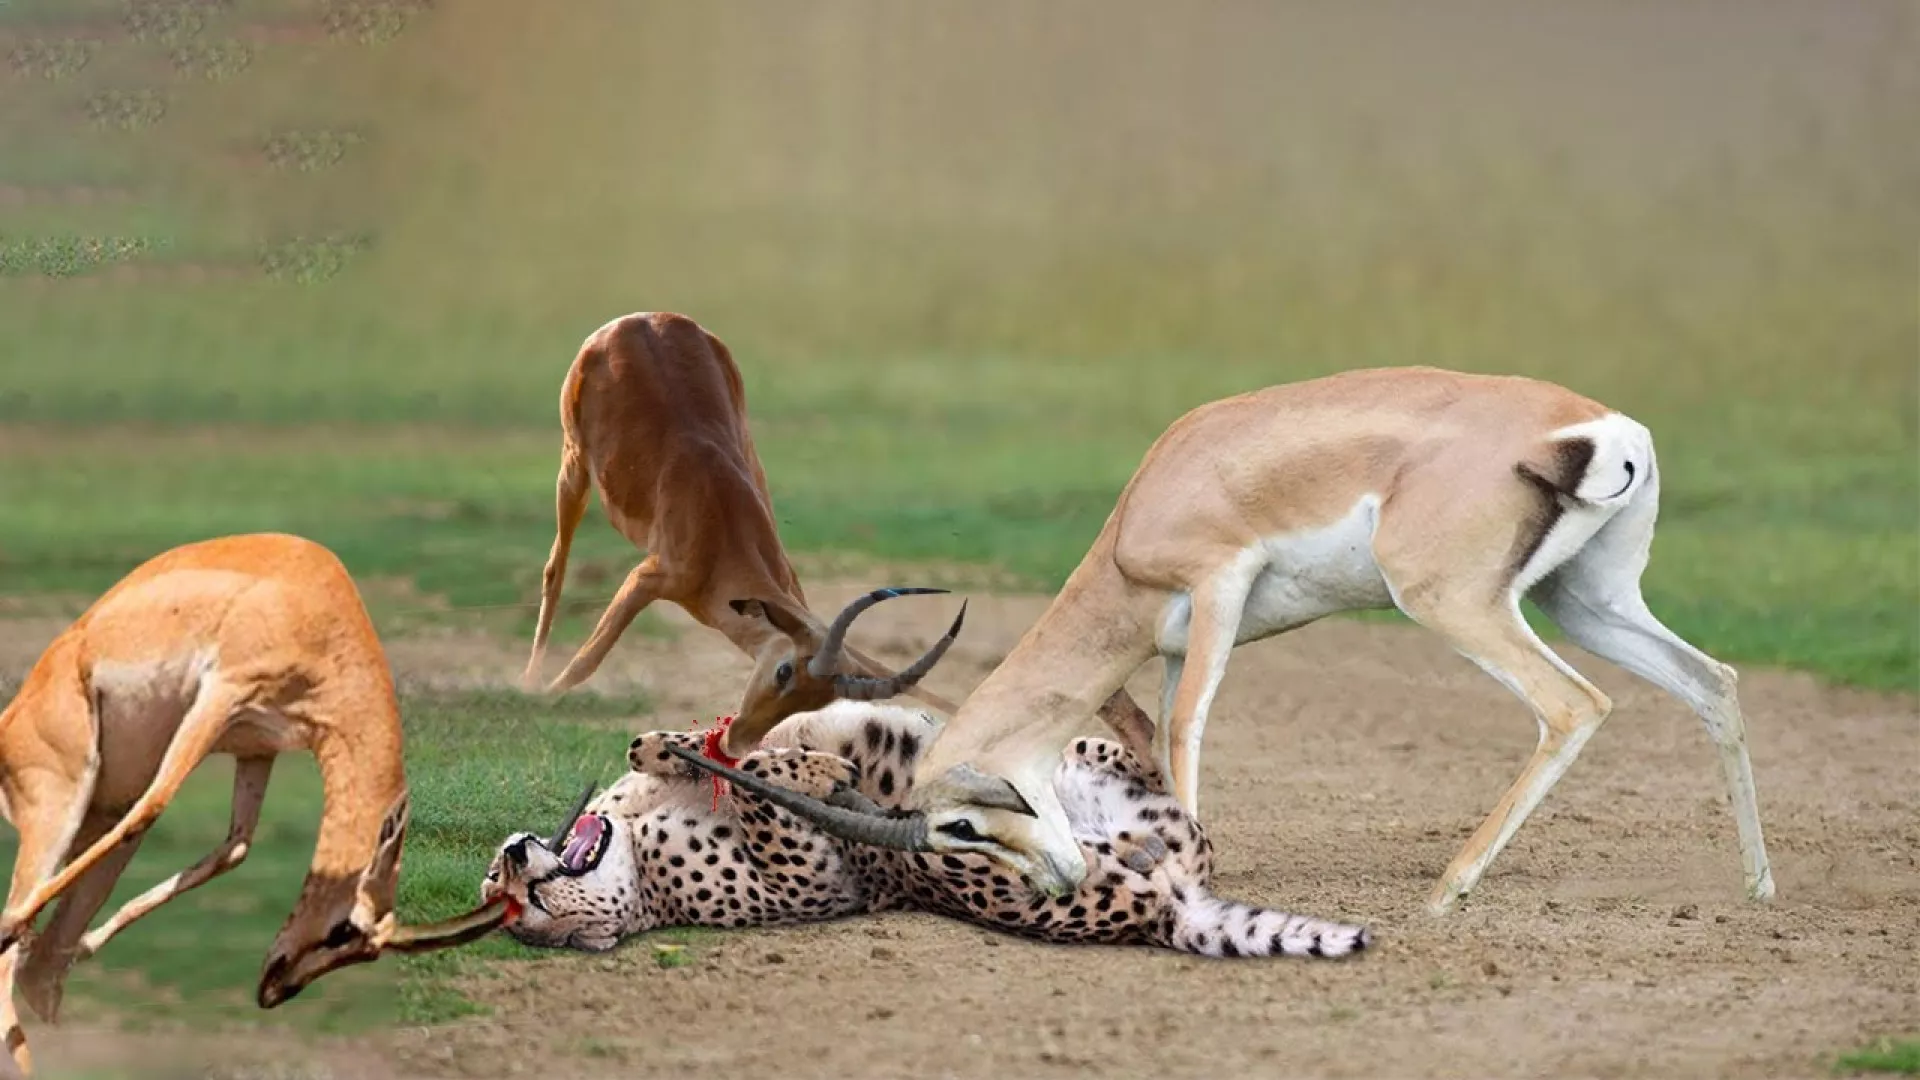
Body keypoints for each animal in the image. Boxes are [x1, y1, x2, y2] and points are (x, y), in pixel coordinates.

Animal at [487, 699, 1374, 957]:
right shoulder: (814, 875)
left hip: (1117, 786)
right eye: (512, 906)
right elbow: (770, 788)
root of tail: (1167, 901)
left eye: (496, 881)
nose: (512, 856)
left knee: (1138, 763)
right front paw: (820, 769)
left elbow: (685, 745)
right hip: (972, 864)